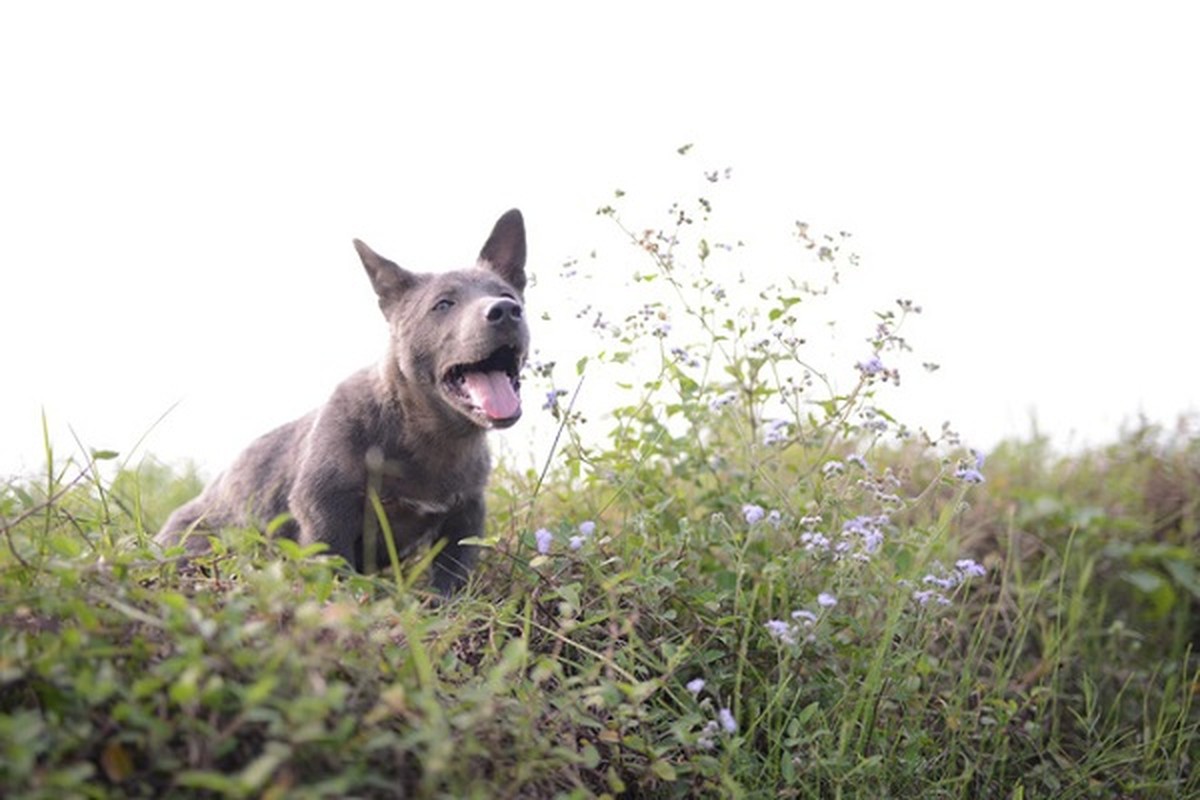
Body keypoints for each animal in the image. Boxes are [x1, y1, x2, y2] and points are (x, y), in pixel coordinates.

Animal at [158, 209, 530, 592]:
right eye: (443, 304)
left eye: (508, 294)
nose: (505, 309)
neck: (430, 435)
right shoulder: (324, 505)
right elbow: (334, 564)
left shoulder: (466, 514)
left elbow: (453, 570)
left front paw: (447, 600)